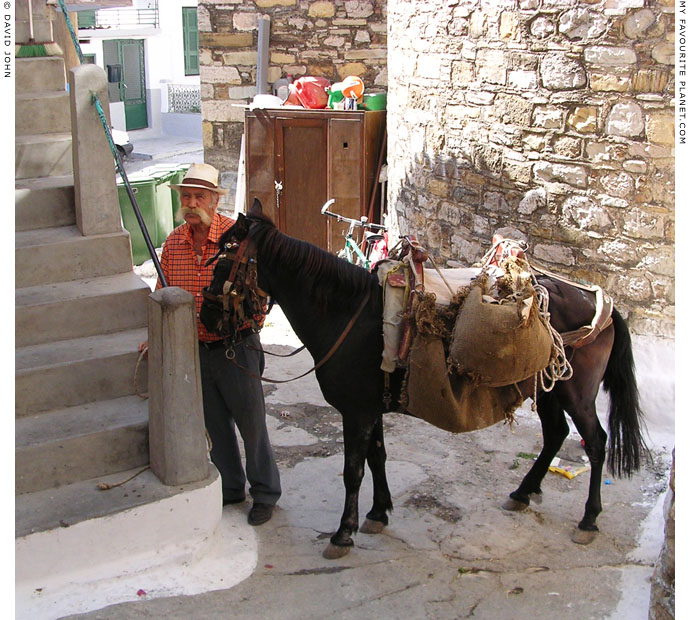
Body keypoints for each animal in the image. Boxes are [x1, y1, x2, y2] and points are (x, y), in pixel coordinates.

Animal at [199, 201, 644, 560]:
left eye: (222, 259)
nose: (206, 317)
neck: (346, 315)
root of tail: (598, 300)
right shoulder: (370, 409)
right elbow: (376, 458)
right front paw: (378, 513)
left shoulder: (355, 412)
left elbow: (352, 471)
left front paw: (343, 533)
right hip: (550, 389)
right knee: (555, 435)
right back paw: (522, 492)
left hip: (577, 393)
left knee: (596, 442)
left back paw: (588, 520)